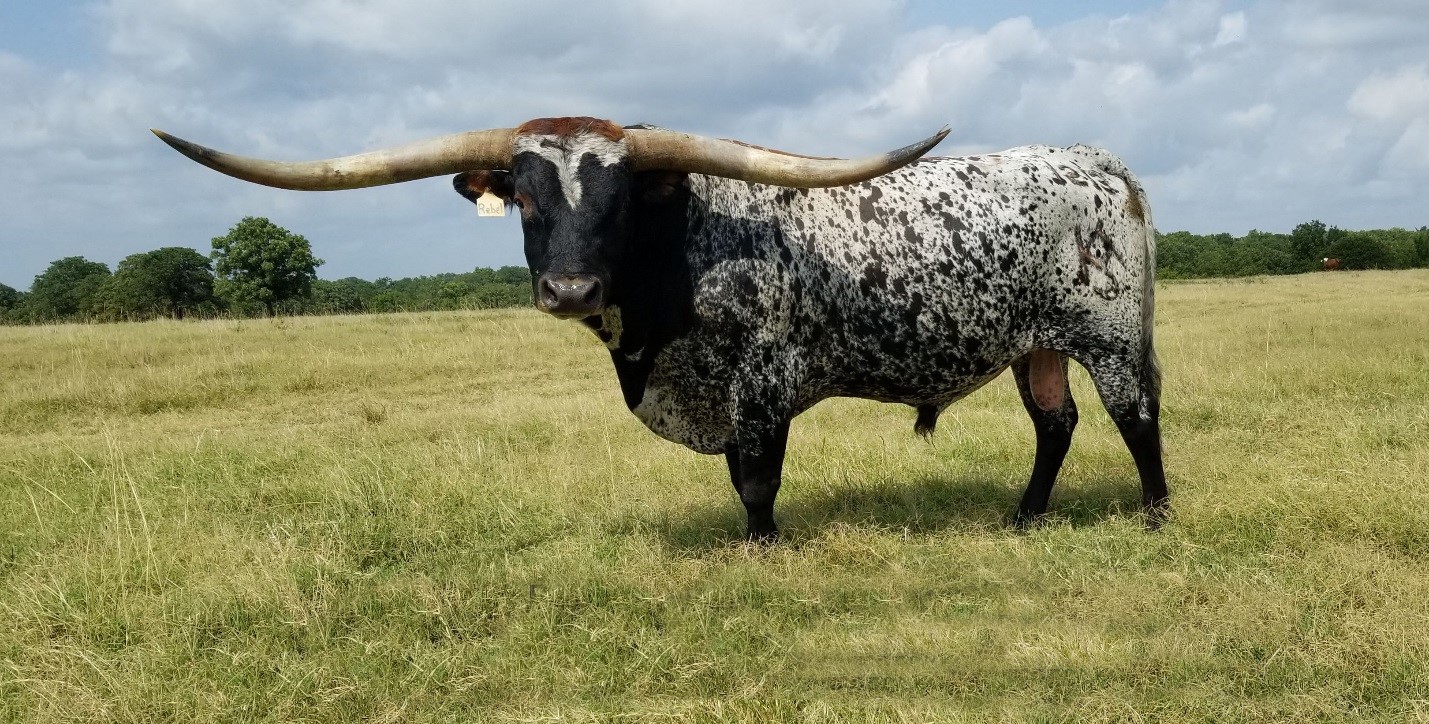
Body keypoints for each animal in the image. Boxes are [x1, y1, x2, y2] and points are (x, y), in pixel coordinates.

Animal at [153, 117, 1167, 540]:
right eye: (525, 196)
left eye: (620, 199)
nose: (567, 287)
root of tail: (1094, 159)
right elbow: (736, 477)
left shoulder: (761, 380)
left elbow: (756, 479)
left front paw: (761, 546)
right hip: (1035, 343)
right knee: (1055, 423)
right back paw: (1025, 518)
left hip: (1109, 334)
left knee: (1136, 419)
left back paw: (1156, 516)